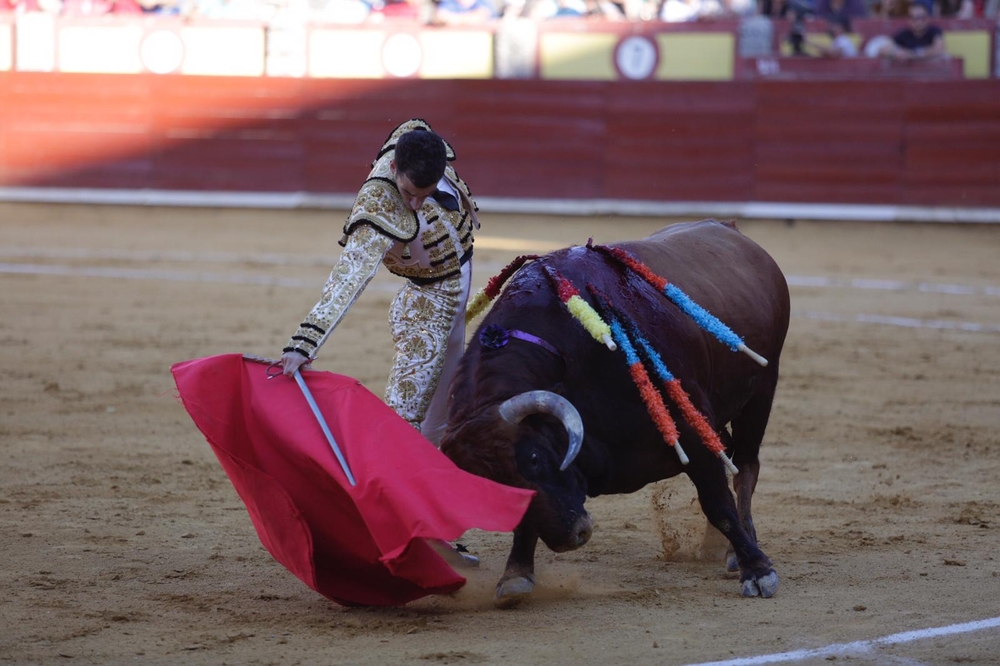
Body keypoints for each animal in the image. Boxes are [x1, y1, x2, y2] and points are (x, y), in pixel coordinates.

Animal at [442, 218, 792, 600]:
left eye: (533, 458)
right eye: (487, 488)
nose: (571, 537)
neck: (572, 361)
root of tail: (731, 229)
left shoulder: (688, 429)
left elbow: (718, 504)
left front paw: (757, 571)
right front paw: (516, 574)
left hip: (762, 389)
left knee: (745, 466)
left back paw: (736, 551)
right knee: (728, 453)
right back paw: (714, 546)